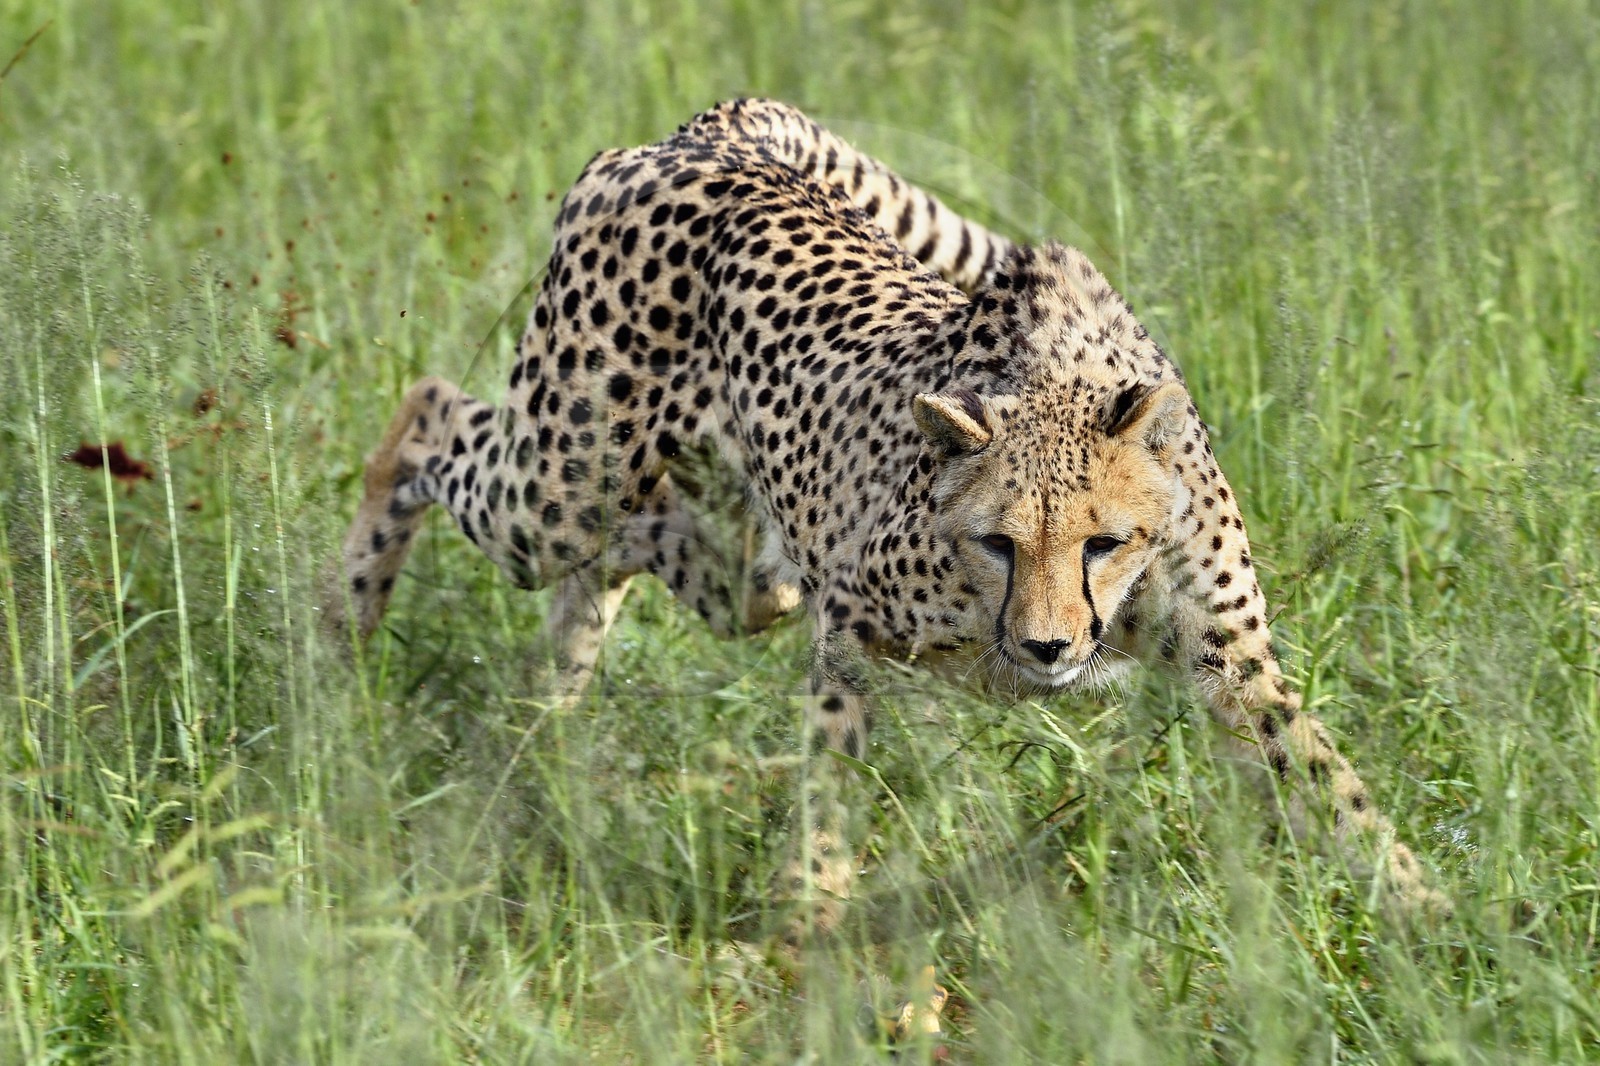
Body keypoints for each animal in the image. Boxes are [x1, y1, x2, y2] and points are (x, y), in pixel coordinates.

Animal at [338, 98, 1444, 1042]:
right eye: (999, 542)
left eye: (1103, 541)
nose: (1049, 648)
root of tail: (711, 134)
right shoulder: (850, 621)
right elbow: (831, 782)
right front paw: (809, 934)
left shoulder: (1230, 663)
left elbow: (1331, 786)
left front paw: (1433, 923)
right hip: (565, 476)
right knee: (431, 411)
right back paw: (341, 632)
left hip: (737, 563)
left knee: (621, 556)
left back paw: (545, 713)